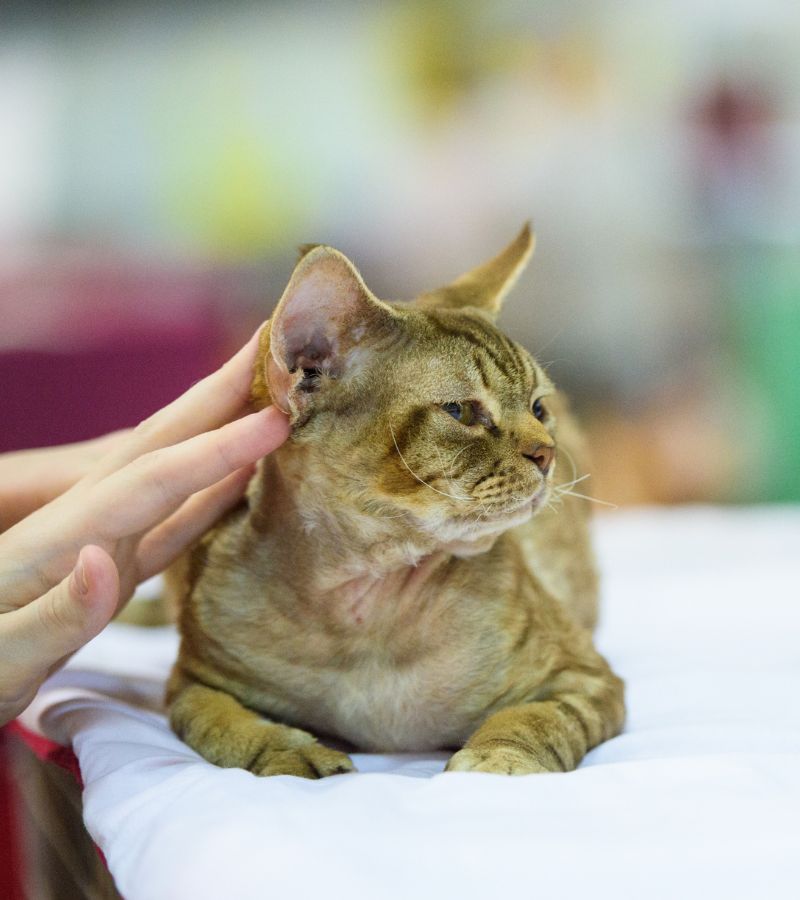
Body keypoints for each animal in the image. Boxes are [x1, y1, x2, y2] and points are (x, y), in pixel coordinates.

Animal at [164, 223, 624, 772]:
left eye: (538, 408)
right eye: (462, 412)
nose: (547, 453)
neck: (368, 610)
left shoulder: (583, 677)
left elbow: (532, 720)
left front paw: (497, 760)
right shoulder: (193, 683)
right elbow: (226, 726)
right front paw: (289, 752)